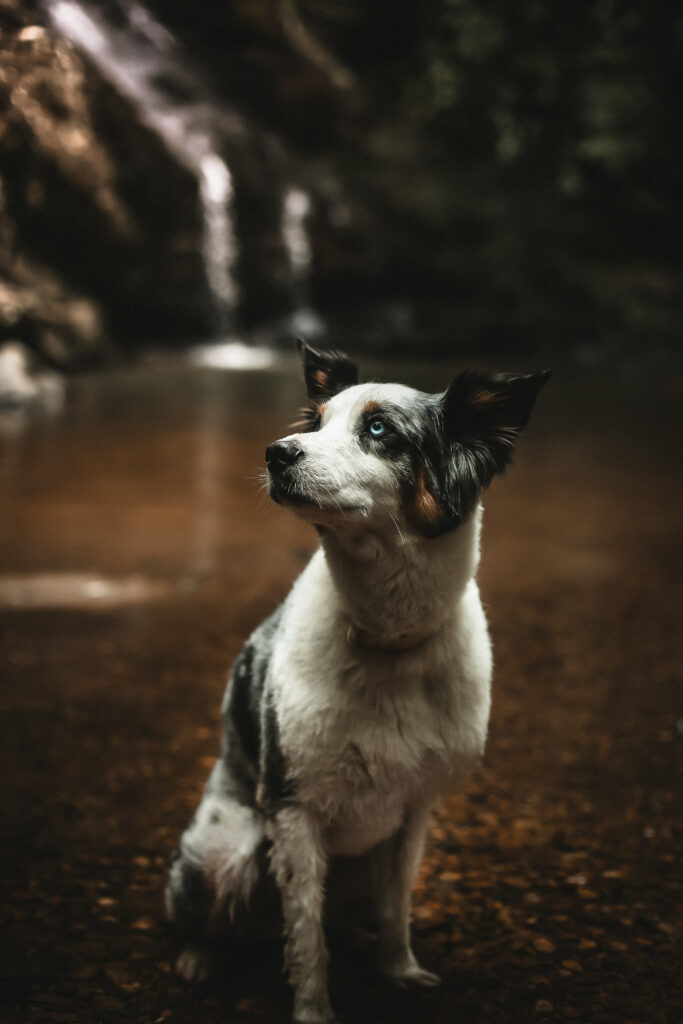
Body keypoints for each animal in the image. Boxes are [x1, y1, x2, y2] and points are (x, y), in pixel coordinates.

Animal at [166, 339, 548, 1019]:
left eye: (378, 430)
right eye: (315, 423)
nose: (276, 452)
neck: (388, 641)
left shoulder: (413, 812)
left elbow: (395, 909)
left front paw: (399, 971)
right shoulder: (293, 811)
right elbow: (305, 940)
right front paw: (313, 1011)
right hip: (225, 850)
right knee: (202, 916)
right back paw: (197, 959)